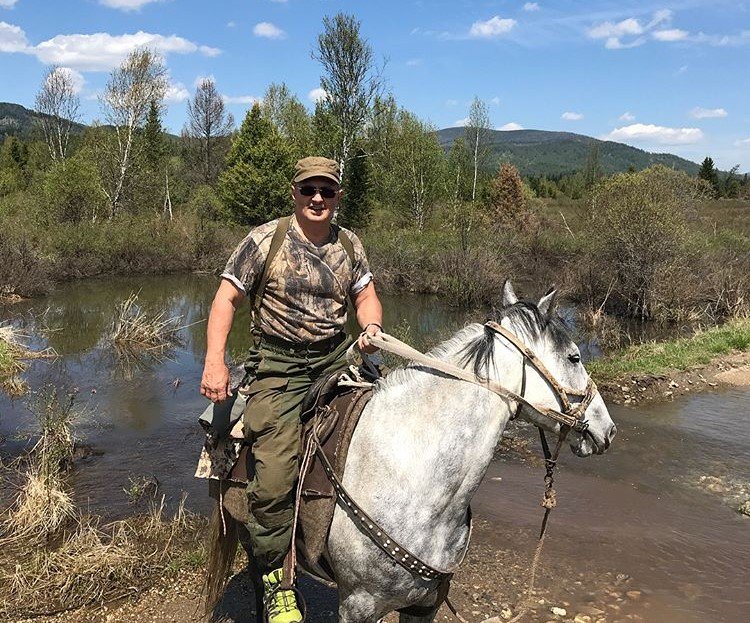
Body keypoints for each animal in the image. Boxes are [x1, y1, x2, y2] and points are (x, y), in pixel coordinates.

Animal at [205, 281, 617, 623]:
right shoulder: (358, 605)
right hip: (251, 530)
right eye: (575, 357)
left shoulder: (424, 605)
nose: (607, 429)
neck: (415, 478)